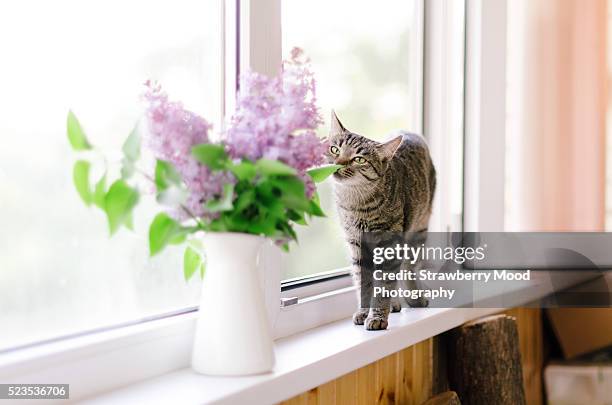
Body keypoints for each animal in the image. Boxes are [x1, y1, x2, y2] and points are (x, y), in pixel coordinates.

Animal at [326, 109, 436, 328]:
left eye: (359, 159)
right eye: (335, 149)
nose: (337, 164)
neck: (356, 204)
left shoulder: (390, 244)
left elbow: (384, 284)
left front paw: (377, 316)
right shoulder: (357, 246)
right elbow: (365, 282)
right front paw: (364, 312)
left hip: (418, 230)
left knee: (408, 268)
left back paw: (414, 297)